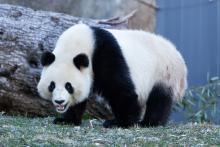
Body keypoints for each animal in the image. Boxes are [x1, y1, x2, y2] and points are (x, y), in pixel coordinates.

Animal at [36, 23, 187, 127]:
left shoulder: (105, 53)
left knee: (159, 99)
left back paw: (149, 122)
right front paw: (66, 120)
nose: (59, 102)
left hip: (164, 73)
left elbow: (121, 89)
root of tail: (178, 55)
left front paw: (121, 122)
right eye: (52, 85)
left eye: (69, 86)